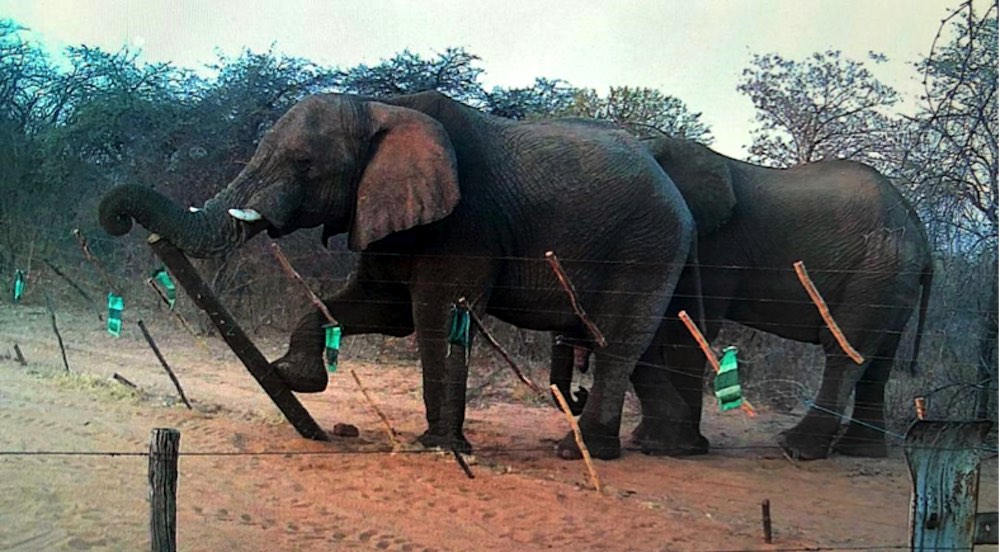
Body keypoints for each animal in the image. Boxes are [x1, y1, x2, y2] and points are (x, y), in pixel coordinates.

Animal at [98, 91, 696, 460]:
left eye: (304, 165)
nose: (119, 219)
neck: (378, 109)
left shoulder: (464, 221)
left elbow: (435, 315)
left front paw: (439, 446)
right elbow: (375, 306)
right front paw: (294, 376)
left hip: (648, 245)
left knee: (616, 342)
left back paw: (580, 451)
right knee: (637, 346)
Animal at [551, 135, 933, 460]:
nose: (579, 394)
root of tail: (918, 225)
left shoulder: (716, 245)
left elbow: (686, 328)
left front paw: (675, 448)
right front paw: (650, 441)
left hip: (876, 270)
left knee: (845, 350)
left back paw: (795, 448)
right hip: (892, 280)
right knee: (879, 361)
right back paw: (859, 452)